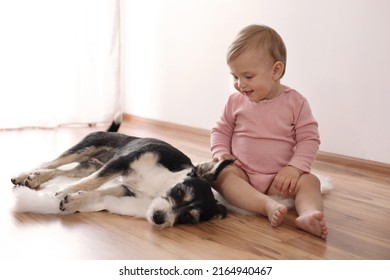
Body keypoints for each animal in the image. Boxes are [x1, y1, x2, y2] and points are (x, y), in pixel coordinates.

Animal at [10, 112, 233, 229]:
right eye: (179, 192)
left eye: (187, 218)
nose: (159, 218)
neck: (160, 184)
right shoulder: (121, 163)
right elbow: (94, 183)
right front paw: (63, 192)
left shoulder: (125, 188)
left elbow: (98, 192)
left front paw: (74, 199)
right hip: (85, 148)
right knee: (52, 162)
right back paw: (25, 175)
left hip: (88, 166)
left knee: (63, 173)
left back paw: (36, 178)